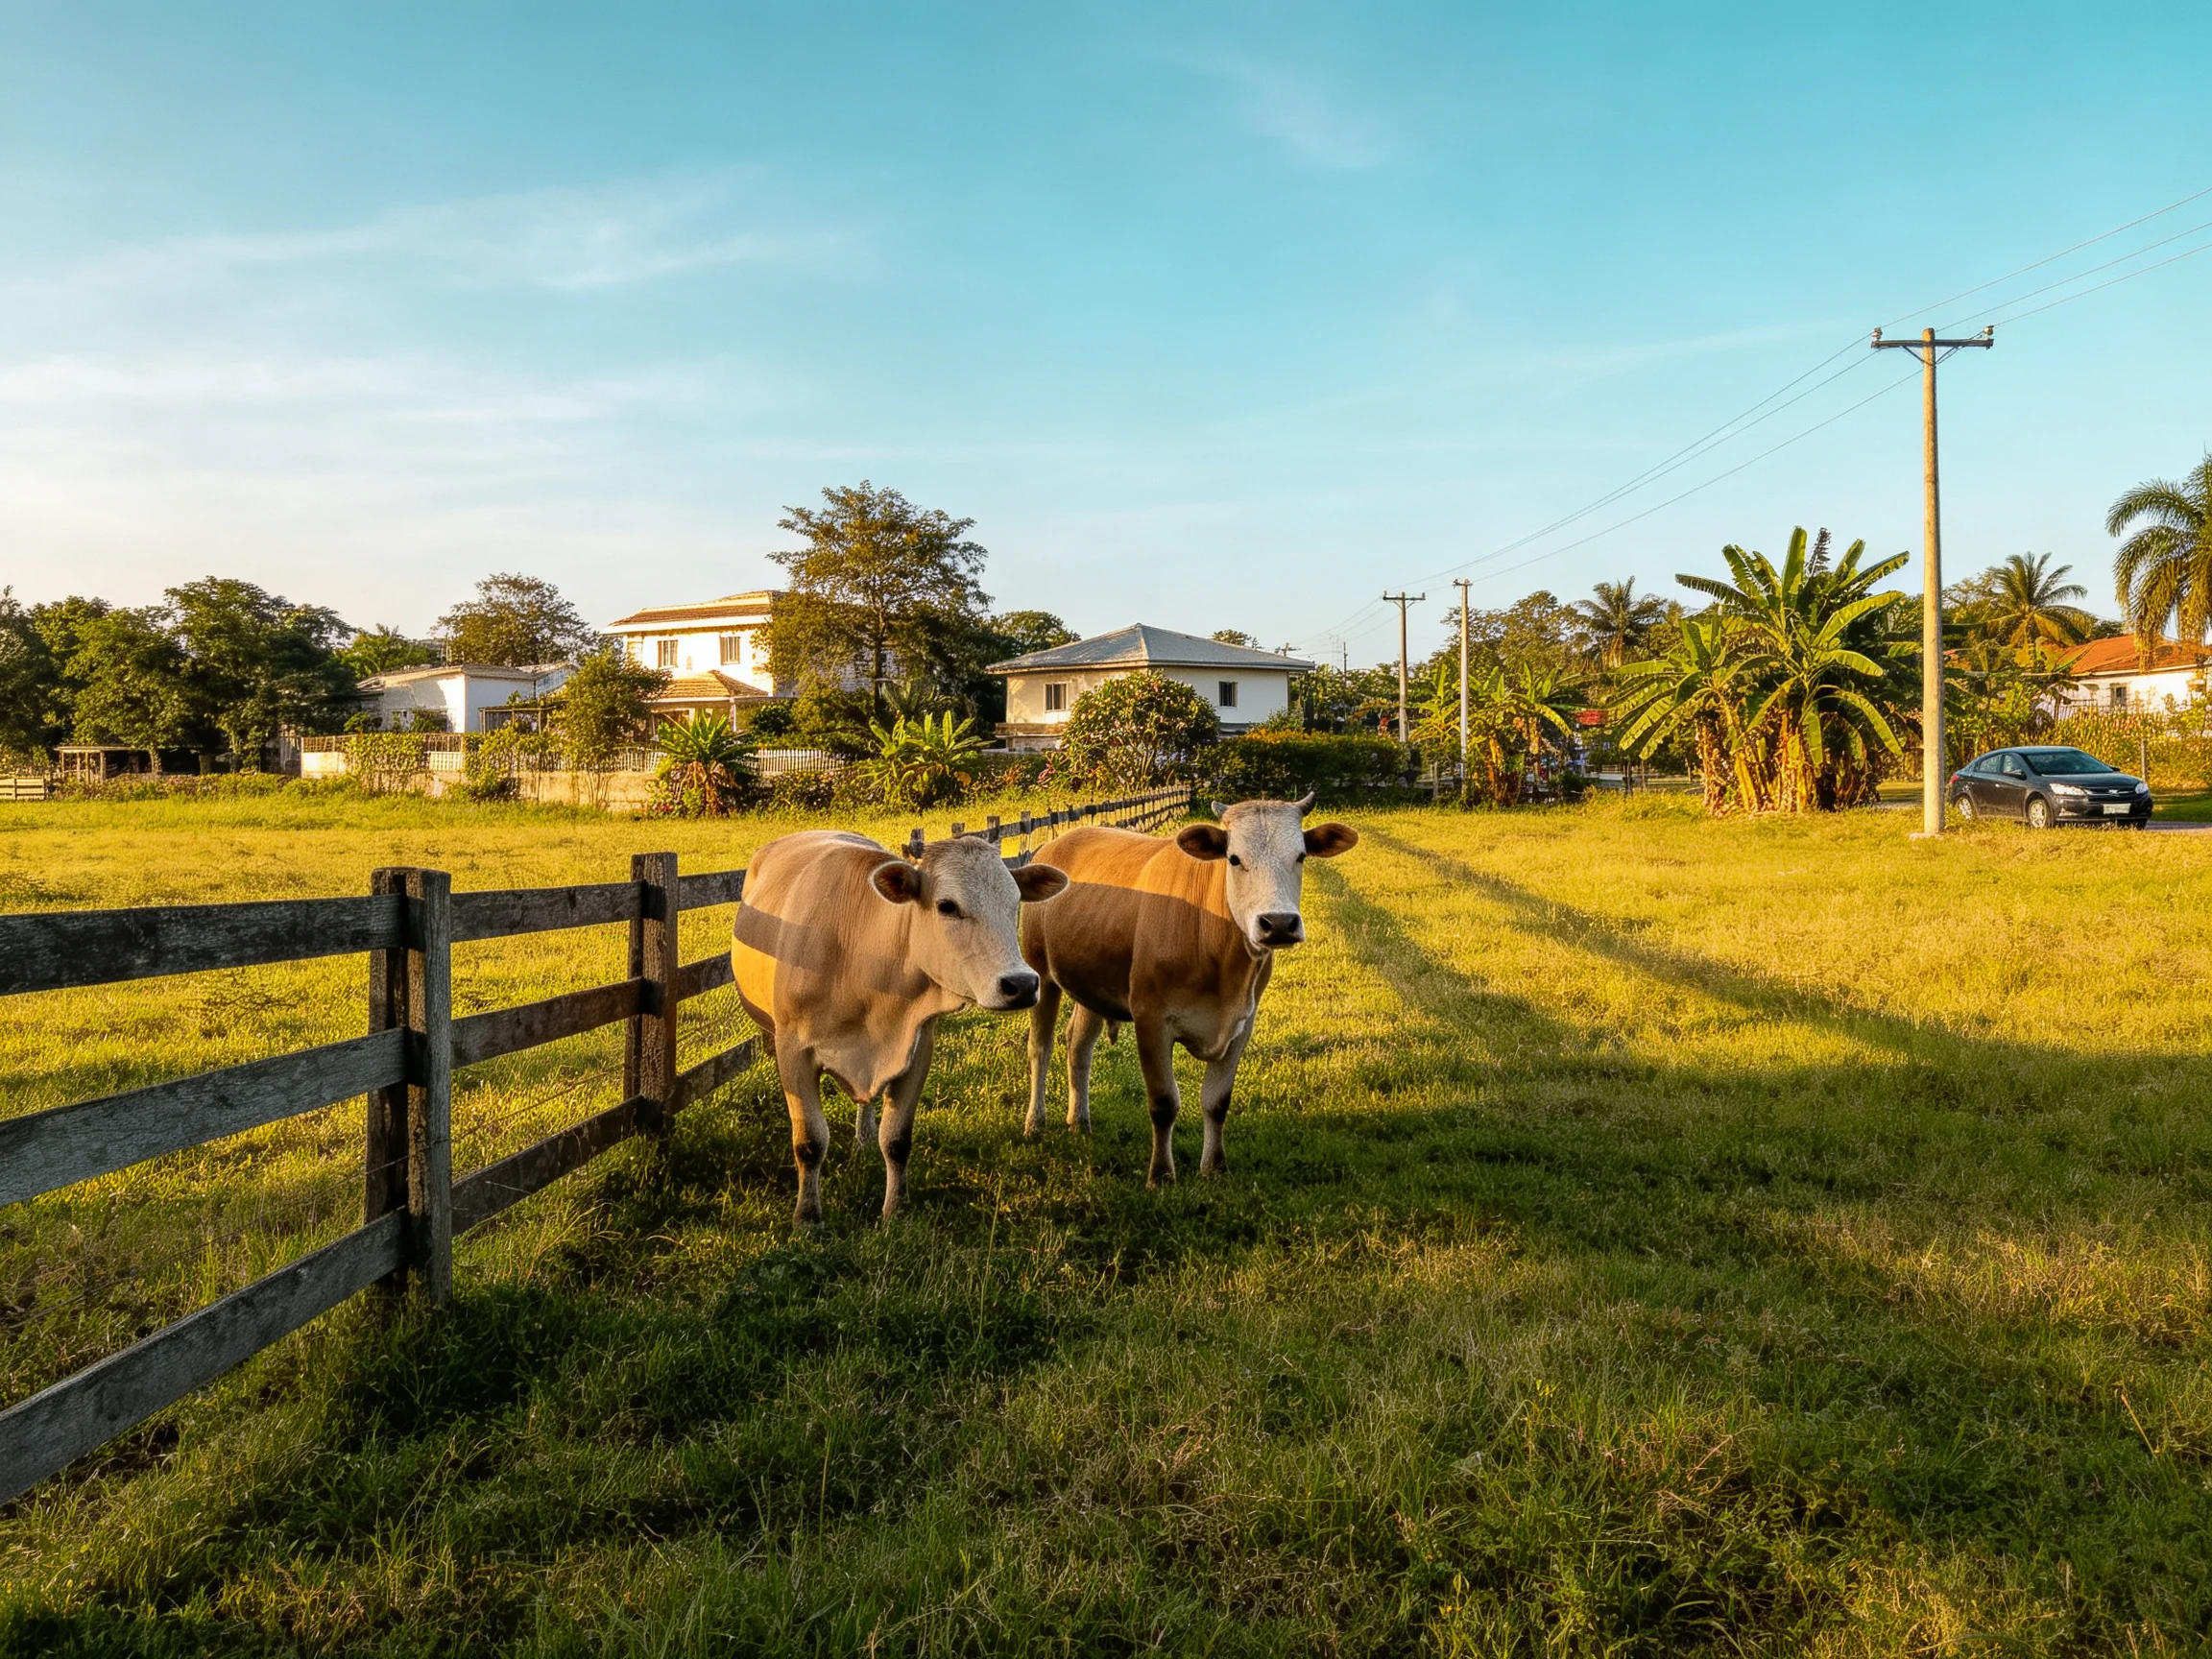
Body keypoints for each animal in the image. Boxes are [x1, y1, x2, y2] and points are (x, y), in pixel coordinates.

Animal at [733, 830, 1069, 1224]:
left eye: (1015, 902)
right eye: (947, 906)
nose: (1022, 984)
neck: (862, 965)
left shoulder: (917, 1049)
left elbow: (896, 1139)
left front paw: (895, 1209)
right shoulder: (794, 1052)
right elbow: (810, 1142)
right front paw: (807, 1216)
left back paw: (864, 1136)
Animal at [1020, 793, 1358, 1186]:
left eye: (1301, 856)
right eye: (1234, 858)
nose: (1278, 923)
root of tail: (1059, 842)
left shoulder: (1243, 1024)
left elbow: (1217, 1102)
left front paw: (1215, 1167)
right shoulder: (1151, 1018)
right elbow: (1164, 1103)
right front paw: (1161, 1175)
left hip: (1090, 981)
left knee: (1078, 1045)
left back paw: (1079, 1122)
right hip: (1041, 975)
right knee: (1040, 1048)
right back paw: (1035, 1123)